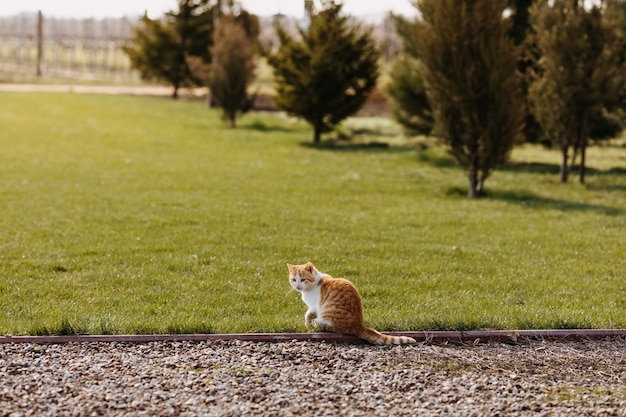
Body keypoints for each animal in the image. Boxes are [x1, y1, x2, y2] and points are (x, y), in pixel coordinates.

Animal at [286, 260, 414, 344]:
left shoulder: (314, 307)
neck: (314, 284)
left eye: (303, 279)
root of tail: (359, 325)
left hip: (327, 315)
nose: (298, 286)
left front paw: (307, 324)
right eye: (294, 280)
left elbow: (307, 315)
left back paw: (318, 324)